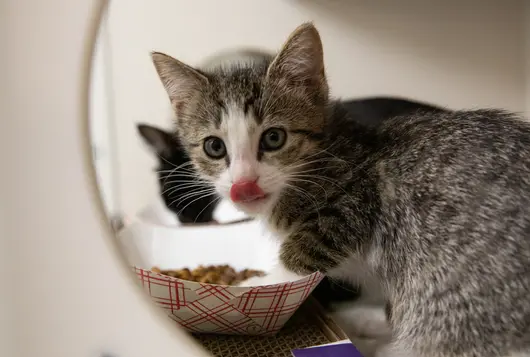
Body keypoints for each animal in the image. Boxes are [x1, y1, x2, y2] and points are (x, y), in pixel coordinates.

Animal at [151, 23, 528, 356]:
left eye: (274, 138)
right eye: (214, 147)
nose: (244, 184)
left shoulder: (357, 197)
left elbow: (305, 250)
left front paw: (255, 286)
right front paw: (371, 321)